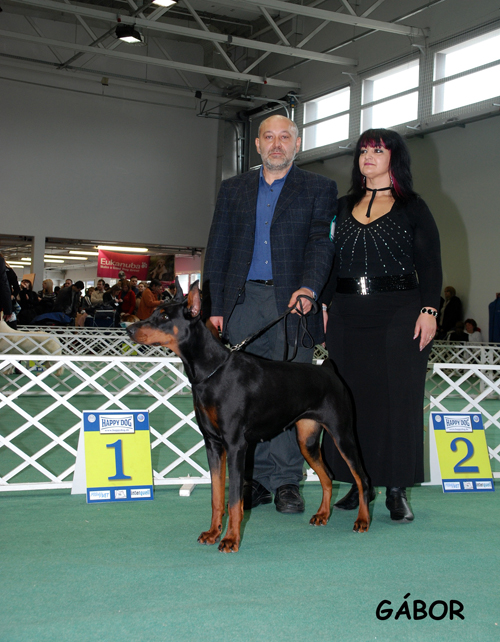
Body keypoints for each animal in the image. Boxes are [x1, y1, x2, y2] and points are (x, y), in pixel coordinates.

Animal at [126, 280, 371, 552]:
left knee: (362, 478)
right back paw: (322, 515)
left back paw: (362, 520)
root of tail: (328, 370)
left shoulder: (235, 445)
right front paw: (213, 533)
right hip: (306, 440)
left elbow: (234, 500)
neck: (211, 371)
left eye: (165, 317)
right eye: (154, 312)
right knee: (327, 477)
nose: (129, 329)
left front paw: (231, 539)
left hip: (342, 435)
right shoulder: (213, 444)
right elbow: (217, 496)